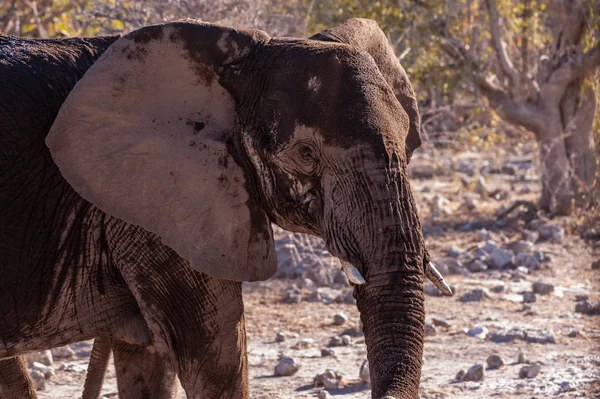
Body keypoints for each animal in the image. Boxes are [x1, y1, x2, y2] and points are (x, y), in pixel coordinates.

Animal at [0, 17, 450, 398]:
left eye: (409, 143)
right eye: (305, 154)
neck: (241, 60)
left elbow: (150, 361)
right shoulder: (158, 202)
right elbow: (214, 354)